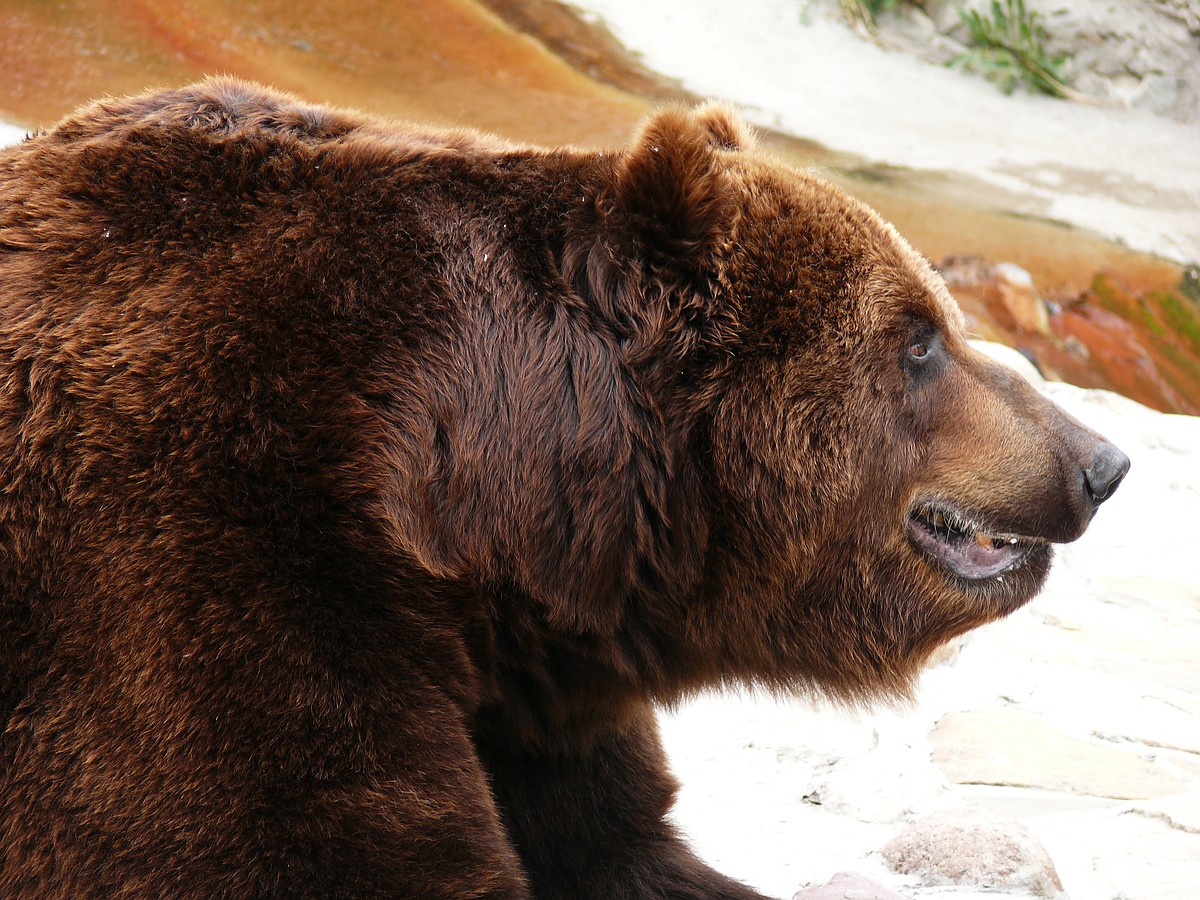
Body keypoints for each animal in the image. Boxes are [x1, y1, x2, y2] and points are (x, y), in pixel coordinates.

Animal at [0, 79, 1123, 900]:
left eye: (941, 321)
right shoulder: (214, 551)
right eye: (919, 340)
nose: (1100, 461)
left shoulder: (543, 702)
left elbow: (627, 848)